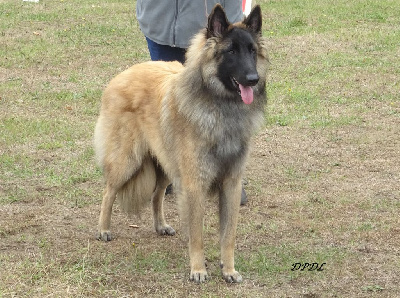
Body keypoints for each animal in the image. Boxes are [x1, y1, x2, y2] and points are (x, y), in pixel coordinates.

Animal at [94, 4, 268, 282]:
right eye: (231, 51)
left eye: (252, 51)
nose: (253, 79)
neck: (220, 108)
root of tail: (122, 75)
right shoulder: (195, 184)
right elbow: (196, 235)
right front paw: (198, 269)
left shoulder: (231, 183)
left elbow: (228, 234)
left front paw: (229, 269)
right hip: (127, 161)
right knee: (109, 191)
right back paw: (103, 229)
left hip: (167, 164)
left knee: (156, 195)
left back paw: (160, 225)